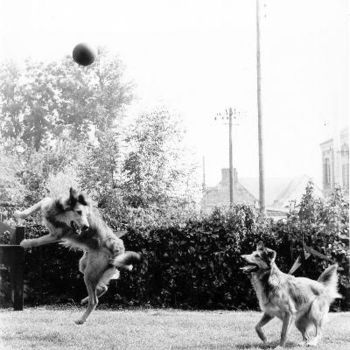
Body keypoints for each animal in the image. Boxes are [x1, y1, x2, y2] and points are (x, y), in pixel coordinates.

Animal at [15, 189, 141, 326]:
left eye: (87, 214)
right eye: (79, 212)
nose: (86, 227)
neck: (58, 215)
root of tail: (118, 250)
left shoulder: (55, 235)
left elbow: (38, 240)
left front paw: (26, 243)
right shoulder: (47, 204)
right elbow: (38, 204)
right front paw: (20, 214)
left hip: (90, 273)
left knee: (94, 300)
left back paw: (81, 319)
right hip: (84, 266)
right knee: (103, 287)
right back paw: (85, 299)